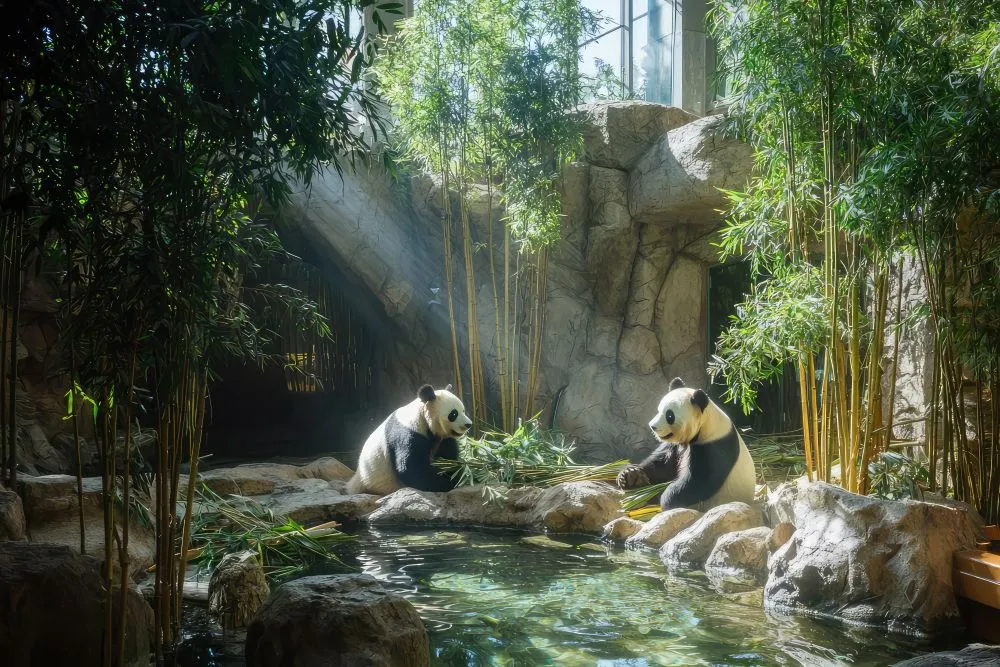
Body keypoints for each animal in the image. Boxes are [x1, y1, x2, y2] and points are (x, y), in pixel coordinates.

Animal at [616, 377, 756, 512]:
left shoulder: (713, 446)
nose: (652, 426)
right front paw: (631, 475)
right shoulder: (676, 445)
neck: (706, 424)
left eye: (670, 416)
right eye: (659, 409)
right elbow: (662, 465)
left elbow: (699, 482)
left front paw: (667, 500)